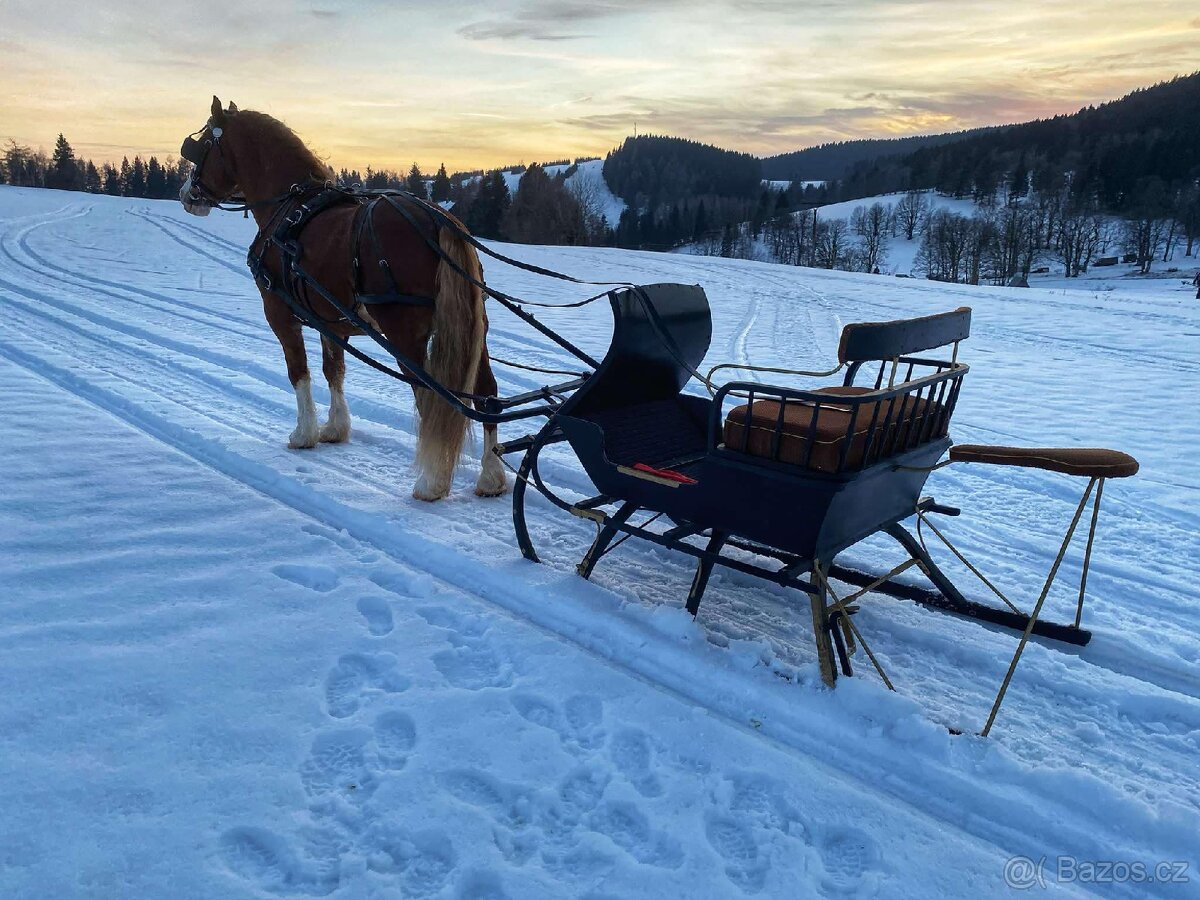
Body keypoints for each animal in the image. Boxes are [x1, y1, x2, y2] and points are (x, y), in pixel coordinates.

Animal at [178, 96, 506, 501]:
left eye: (203, 145)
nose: (186, 194)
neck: (289, 209)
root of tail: (439, 220)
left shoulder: (280, 314)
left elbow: (298, 372)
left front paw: (304, 434)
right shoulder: (330, 322)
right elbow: (333, 370)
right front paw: (335, 428)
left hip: (405, 334)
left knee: (431, 395)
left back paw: (432, 483)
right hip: (477, 331)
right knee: (486, 394)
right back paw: (490, 477)